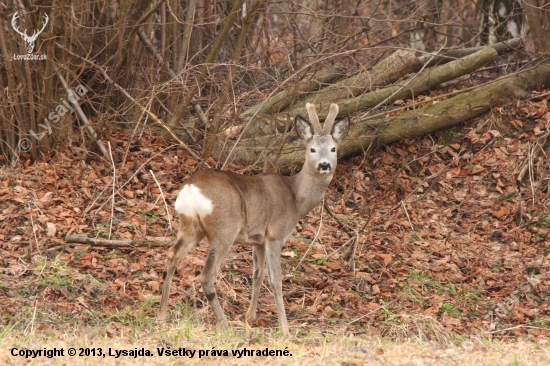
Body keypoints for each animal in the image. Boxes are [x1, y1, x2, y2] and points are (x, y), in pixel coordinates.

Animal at [157, 102, 352, 334]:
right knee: (206, 275)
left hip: (190, 226)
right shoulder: (275, 235)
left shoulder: (257, 240)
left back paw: (162, 315)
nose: (324, 165)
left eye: (333, 149)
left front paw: (250, 317)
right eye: (312, 149)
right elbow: (276, 280)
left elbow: (257, 274)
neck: (296, 199)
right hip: (224, 230)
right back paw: (225, 324)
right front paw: (285, 330)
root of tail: (190, 189)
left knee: (172, 256)